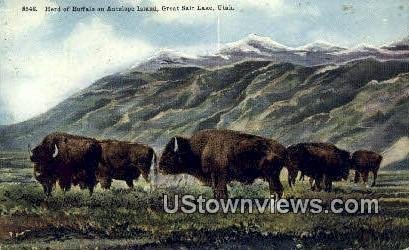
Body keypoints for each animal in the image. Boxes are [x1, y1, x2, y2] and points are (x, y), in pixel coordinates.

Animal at [156, 130, 286, 198]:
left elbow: (221, 192)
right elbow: (217, 191)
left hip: (271, 176)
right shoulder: (214, 178)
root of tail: (282, 148)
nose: (160, 167)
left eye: (170, 154)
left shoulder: (219, 177)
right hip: (272, 177)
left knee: (277, 189)